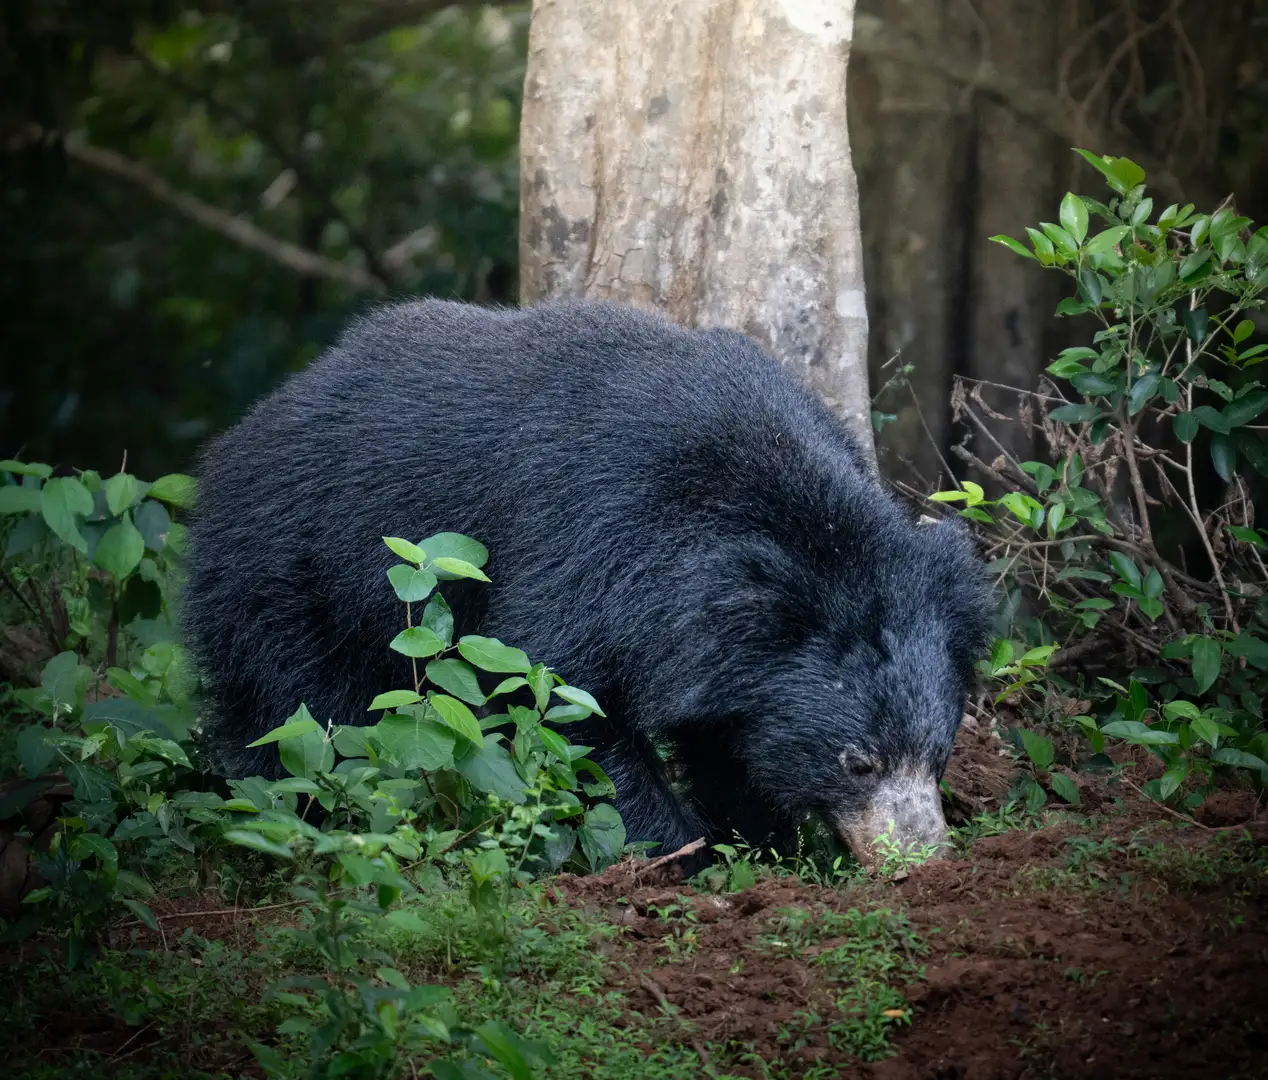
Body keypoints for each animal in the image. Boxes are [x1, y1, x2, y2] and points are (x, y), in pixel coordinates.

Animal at [183, 299, 994, 864]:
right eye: (857, 761)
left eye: (939, 754)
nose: (920, 863)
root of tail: (246, 431)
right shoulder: (587, 540)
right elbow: (558, 698)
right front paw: (683, 856)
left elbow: (729, 737)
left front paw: (762, 842)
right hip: (290, 575)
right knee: (301, 716)